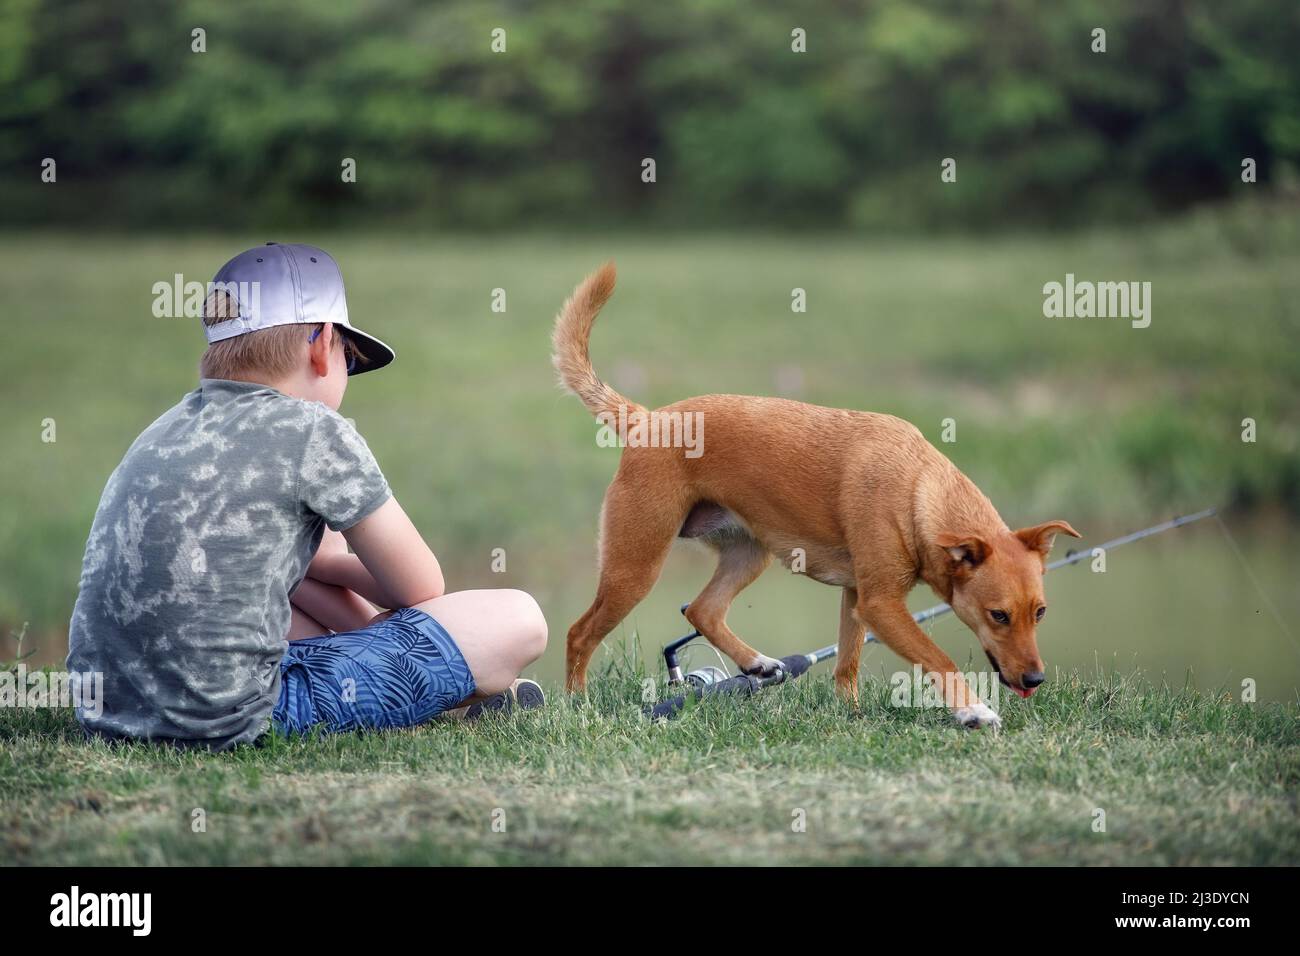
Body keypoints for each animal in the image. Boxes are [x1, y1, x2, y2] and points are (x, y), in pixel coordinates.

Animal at [553, 261, 1081, 723]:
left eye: (1040, 612)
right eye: (998, 615)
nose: (1035, 680)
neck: (919, 492)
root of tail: (647, 419)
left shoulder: (856, 596)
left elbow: (847, 665)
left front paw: (851, 713)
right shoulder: (882, 604)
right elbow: (938, 658)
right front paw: (974, 711)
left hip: (749, 553)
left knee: (703, 610)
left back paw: (758, 664)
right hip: (636, 564)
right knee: (580, 633)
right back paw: (577, 705)